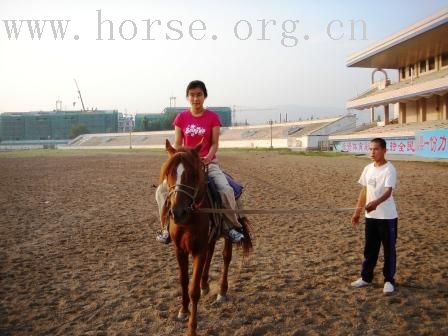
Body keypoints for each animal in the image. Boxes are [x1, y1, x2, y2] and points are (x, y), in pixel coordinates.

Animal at [160, 139, 252, 336]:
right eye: (169, 173)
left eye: (193, 174)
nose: (177, 212)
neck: (189, 217)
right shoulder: (180, 250)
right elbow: (183, 281)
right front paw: (183, 310)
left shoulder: (198, 250)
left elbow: (193, 289)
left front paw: (192, 329)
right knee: (210, 255)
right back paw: (205, 285)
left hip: (227, 233)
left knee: (226, 257)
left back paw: (221, 292)